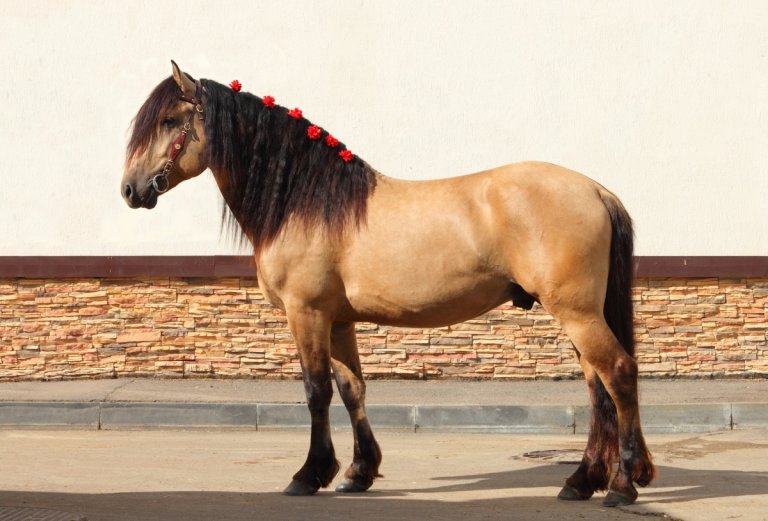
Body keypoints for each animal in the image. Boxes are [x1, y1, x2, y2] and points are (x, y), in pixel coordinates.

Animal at [120, 61, 655, 506]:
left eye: (169, 121)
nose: (130, 189)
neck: (305, 202)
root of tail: (595, 190)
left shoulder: (306, 313)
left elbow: (316, 391)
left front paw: (308, 474)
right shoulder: (337, 321)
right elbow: (351, 389)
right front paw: (358, 472)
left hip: (577, 313)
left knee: (618, 374)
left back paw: (622, 484)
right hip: (580, 315)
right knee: (598, 389)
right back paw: (581, 481)